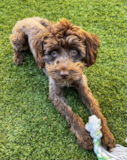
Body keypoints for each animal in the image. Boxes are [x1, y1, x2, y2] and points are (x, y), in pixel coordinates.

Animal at [9, 17, 115, 151]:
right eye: (53, 52)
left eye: (74, 51)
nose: (64, 74)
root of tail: (25, 18)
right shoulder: (55, 95)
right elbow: (71, 115)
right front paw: (84, 136)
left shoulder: (83, 86)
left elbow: (96, 110)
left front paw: (107, 135)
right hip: (19, 39)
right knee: (14, 45)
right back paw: (18, 58)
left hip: (47, 22)